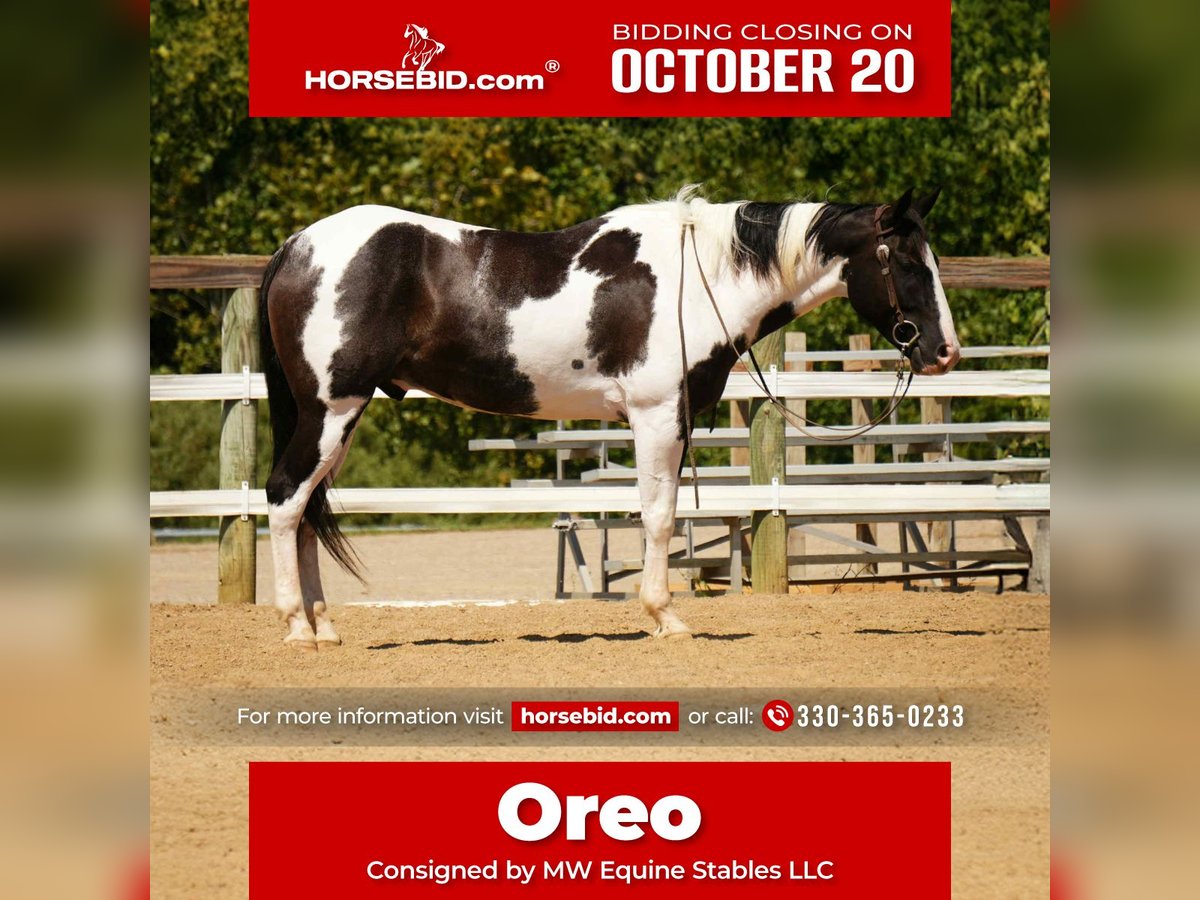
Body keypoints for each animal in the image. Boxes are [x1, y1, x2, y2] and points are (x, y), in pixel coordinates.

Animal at [258, 187, 961, 649]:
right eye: (904, 261)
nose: (944, 351)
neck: (700, 278)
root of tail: (297, 246)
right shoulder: (656, 417)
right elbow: (658, 517)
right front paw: (665, 617)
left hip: (338, 418)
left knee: (308, 508)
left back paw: (324, 626)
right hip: (330, 410)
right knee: (287, 498)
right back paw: (296, 627)